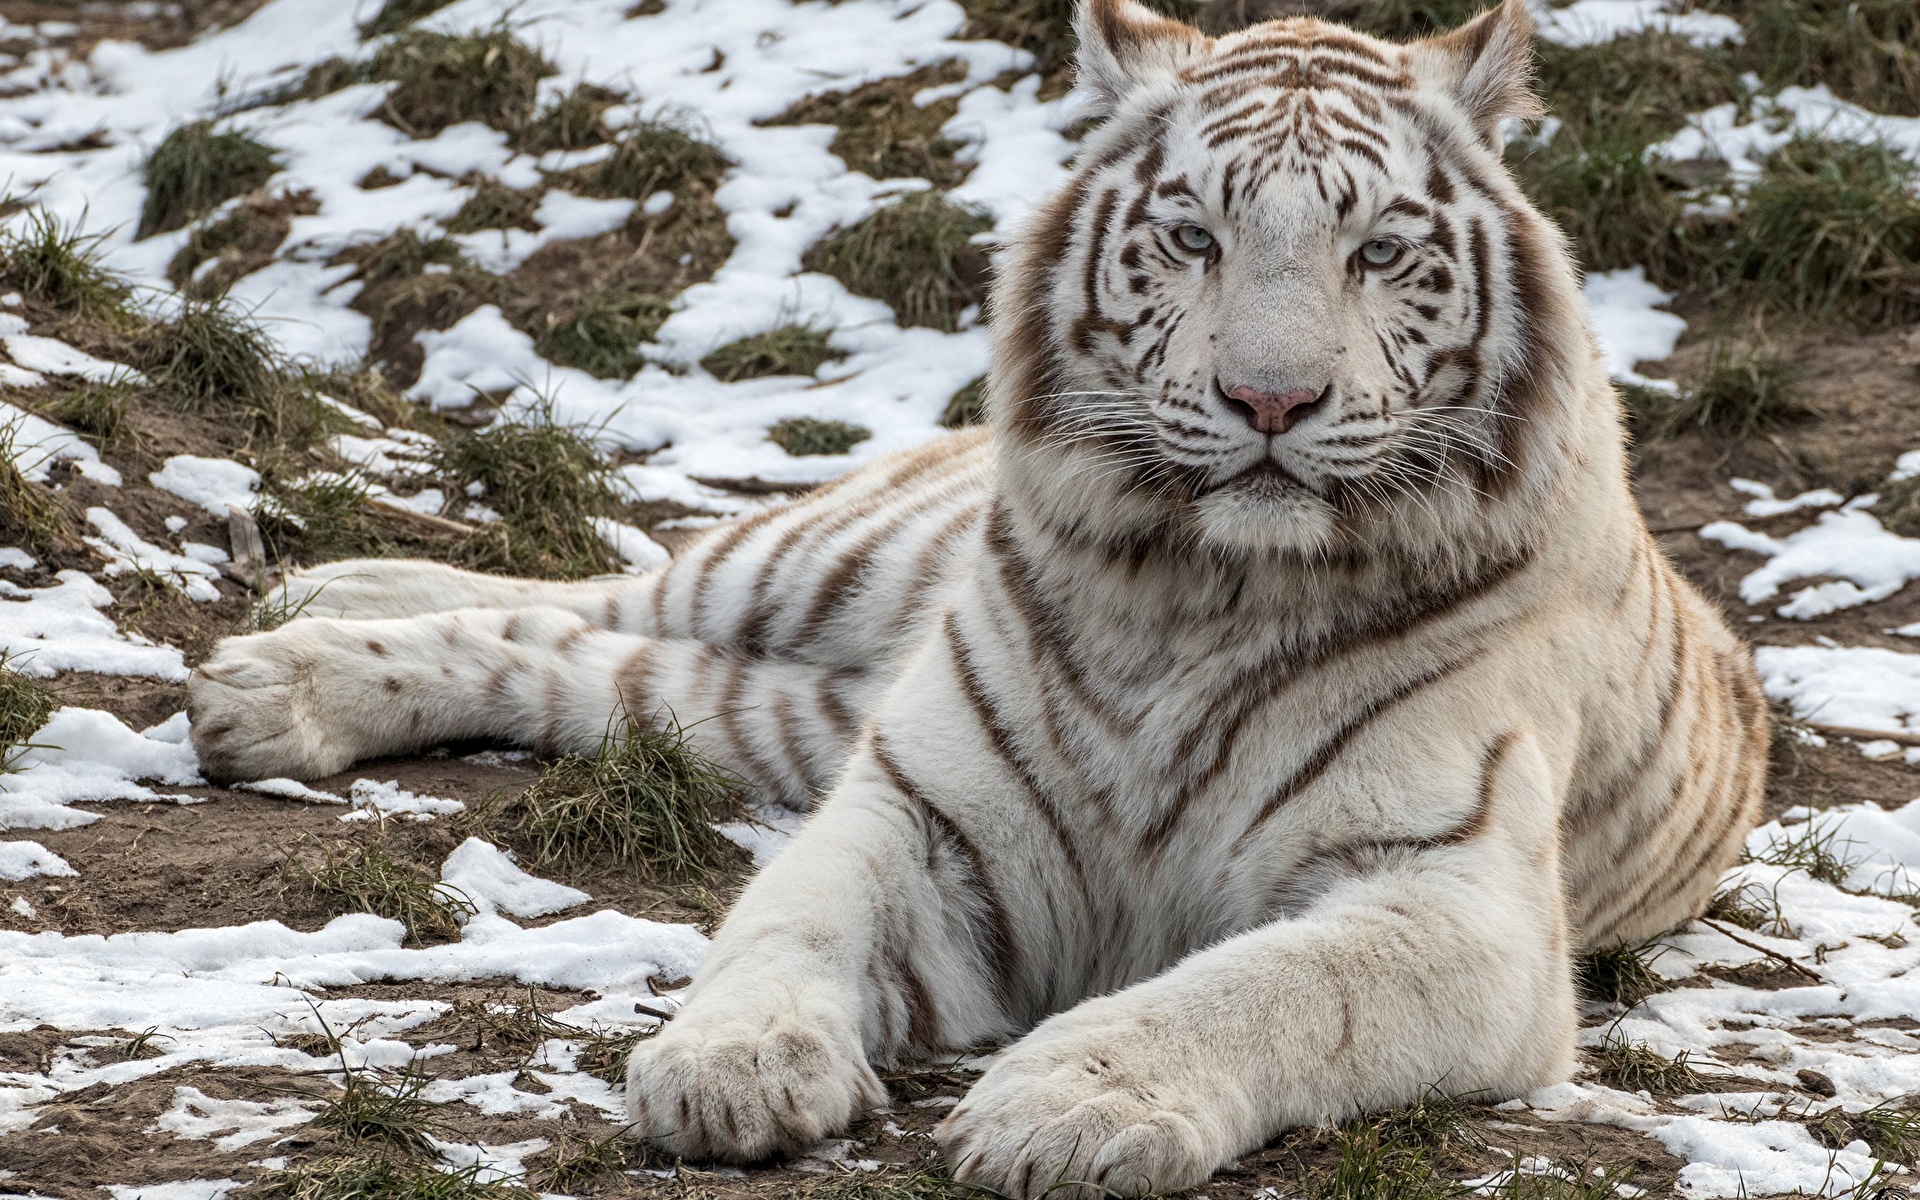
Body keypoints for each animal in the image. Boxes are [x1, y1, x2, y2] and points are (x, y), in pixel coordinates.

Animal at [187, 4, 1758, 1190]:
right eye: (1194, 237)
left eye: (1378, 250)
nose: (1271, 400)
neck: (1204, 589)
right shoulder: (918, 805)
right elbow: (790, 918)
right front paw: (730, 1062)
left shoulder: (1455, 902)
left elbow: (1265, 988)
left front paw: (1065, 1105)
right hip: (816, 569)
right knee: (609, 587)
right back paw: (296, 626)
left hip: (773, 711)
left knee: (576, 662)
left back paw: (278, 675)